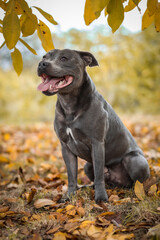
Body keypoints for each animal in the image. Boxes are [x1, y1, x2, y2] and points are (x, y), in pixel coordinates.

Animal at [37, 49, 150, 202]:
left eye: (64, 58)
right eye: (44, 57)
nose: (42, 64)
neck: (69, 105)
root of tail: (119, 184)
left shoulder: (97, 143)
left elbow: (99, 174)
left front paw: (101, 198)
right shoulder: (66, 147)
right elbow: (71, 176)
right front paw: (70, 196)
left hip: (134, 161)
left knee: (137, 182)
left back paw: (136, 193)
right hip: (87, 166)